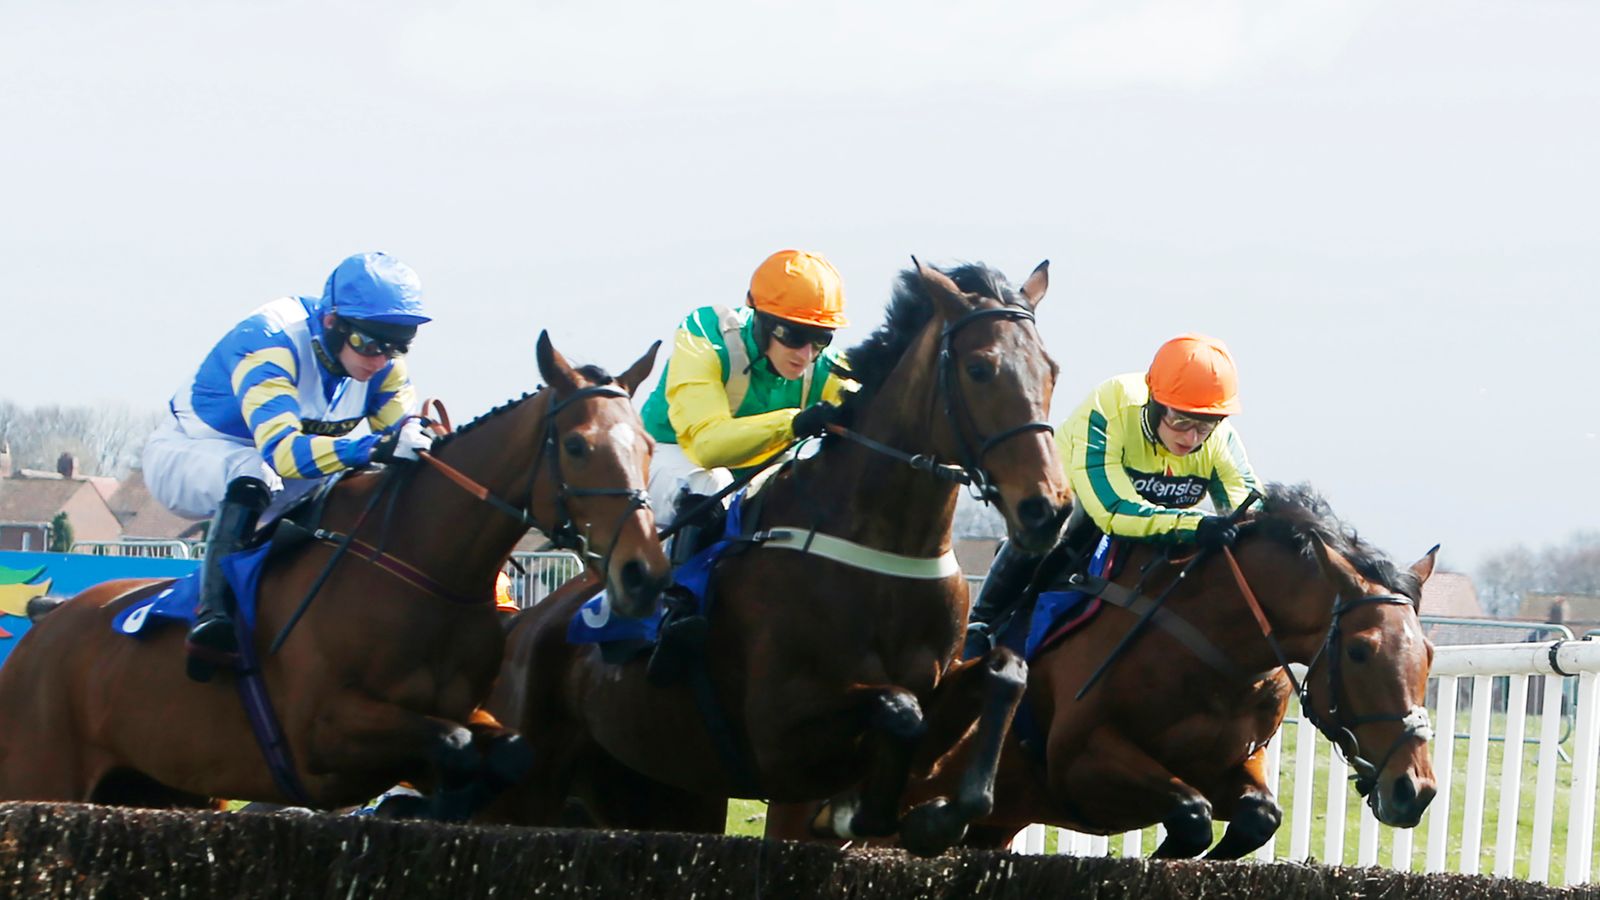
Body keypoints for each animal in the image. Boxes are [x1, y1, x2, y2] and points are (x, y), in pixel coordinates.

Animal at [0, 333, 668, 816]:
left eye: (646, 446)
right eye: (578, 445)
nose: (644, 574)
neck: (419, 570)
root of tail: (46, 624)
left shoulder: (469, 711)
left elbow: (505, 751)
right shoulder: (319, 733)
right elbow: (449, 743)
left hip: (161, 786)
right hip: (42, 775)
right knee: (250, 477)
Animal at [480, 257, 1068, 845]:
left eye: (1051, 369)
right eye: (980, 368)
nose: (1048, 508)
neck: (884, 550)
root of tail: (523, 624)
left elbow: (1005, 672)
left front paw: (943, 811)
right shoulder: (776, 739)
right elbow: (899, 711)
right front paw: (856, 809)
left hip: (659, 791)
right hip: (527, 785)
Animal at [771, 483, 1440, 851]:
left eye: (1429, 654)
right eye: (1360, 650)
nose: (1416, 789)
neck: (1211, 644)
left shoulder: (1231, 765)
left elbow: (1257, 816)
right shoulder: (1080, 763)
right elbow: (1191, 814)